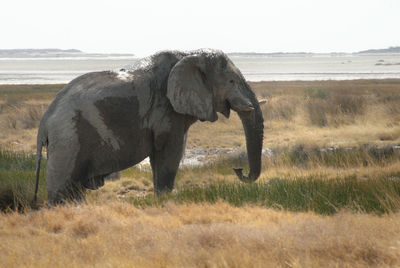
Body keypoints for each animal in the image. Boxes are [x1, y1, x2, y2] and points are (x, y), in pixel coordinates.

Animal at [32, 49, 264, 204]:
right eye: (232, 81)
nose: (238, 169)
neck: (189, 54)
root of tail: (44, 124)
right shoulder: (166, 110)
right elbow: (170, 154)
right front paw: (163, 199)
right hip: (68, 140)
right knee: (63, 188)